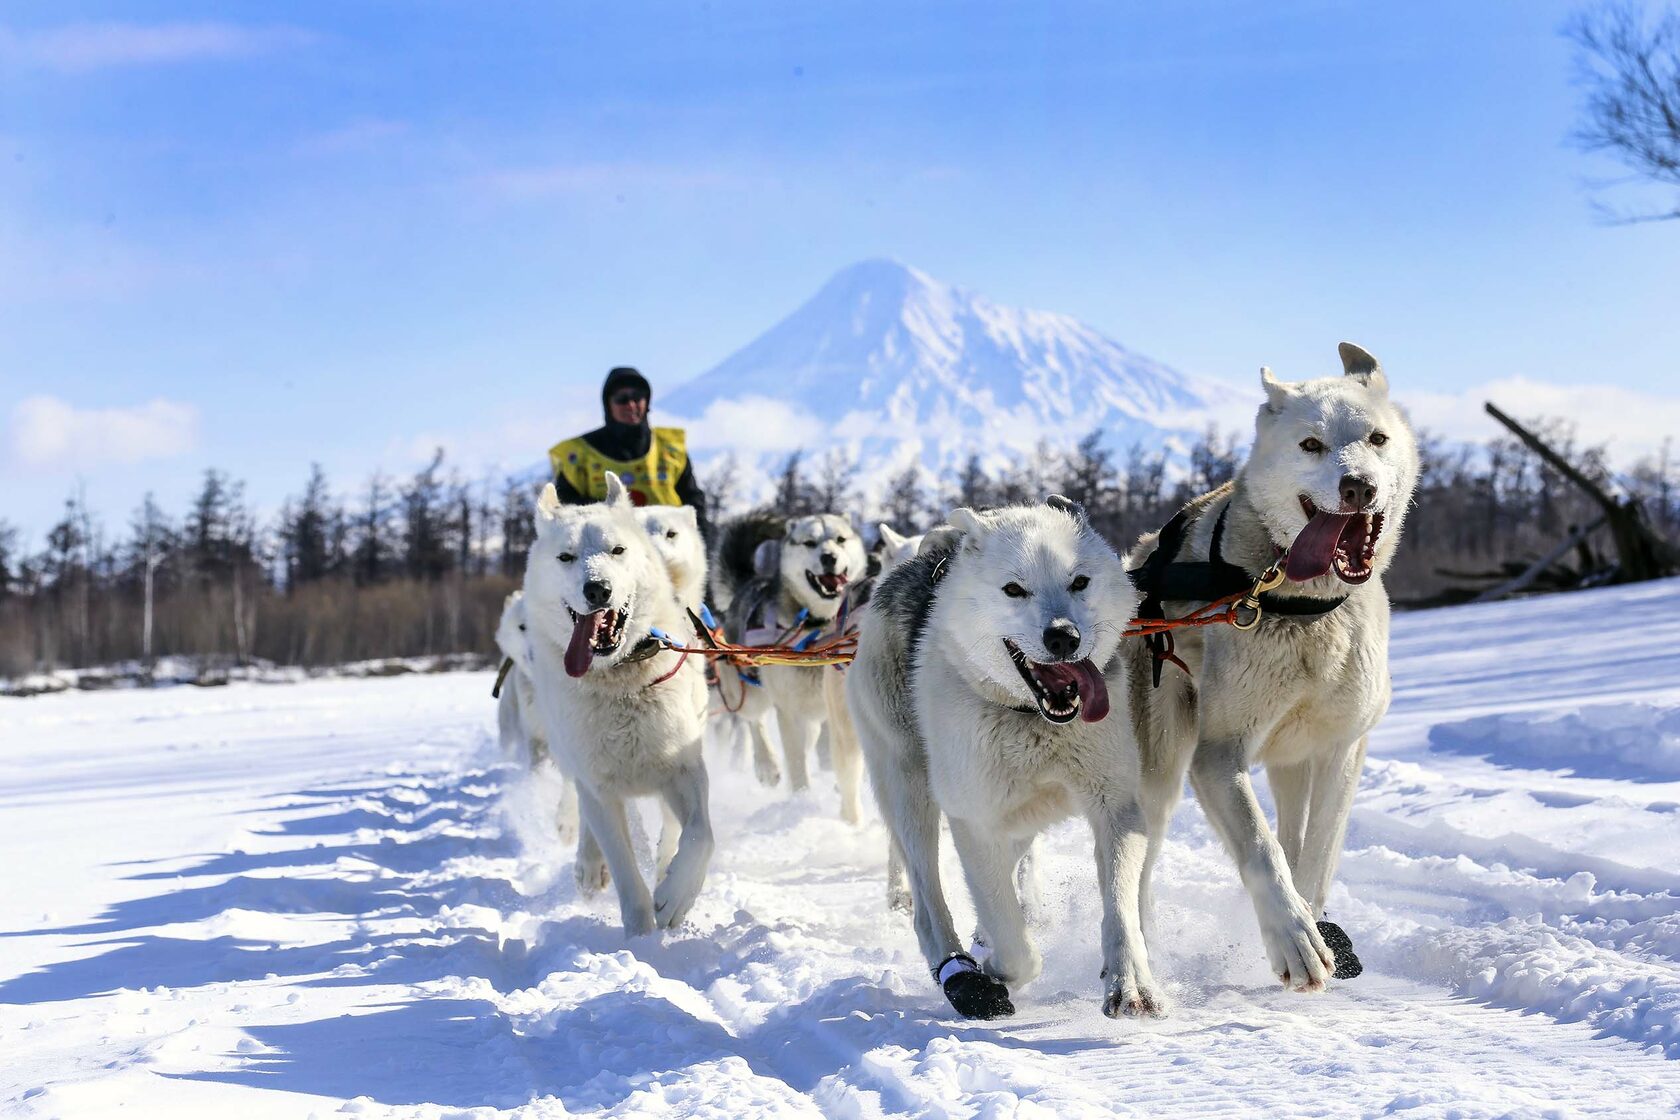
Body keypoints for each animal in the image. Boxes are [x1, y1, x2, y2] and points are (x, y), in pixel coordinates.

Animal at [520, 476, 712, 940]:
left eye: (617, 550)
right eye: (566, 556)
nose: (597, 588)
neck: (619, 679)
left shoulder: (684, 768)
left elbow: (700, 835)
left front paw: (675, 894)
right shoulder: (600, 789)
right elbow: (626, 873)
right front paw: (642, 942)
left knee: (671, 832)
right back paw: (589, 865)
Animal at [712, 517, 866, 822]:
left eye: (840, 539)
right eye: (809, 542)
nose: (828, 557)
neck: (818, 629)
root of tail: (752, 582)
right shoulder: (790, 710)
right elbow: (796, 763)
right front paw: (802, 799)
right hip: (750, 690)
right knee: (753, 721)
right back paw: (767, 765)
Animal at [846, 493, 1162, 1020]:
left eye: (1079, 581)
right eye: (1014, 590)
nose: (1063, 636)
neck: (1033, 718)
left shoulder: (1116, 808)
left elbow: (1120, 907)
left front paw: (1130, 983)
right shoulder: (974, 824)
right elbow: (1016, 944)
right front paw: (996, 966)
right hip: (911, 793)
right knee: (928, 900)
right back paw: (960, 973)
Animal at [1128, 342, 1417, 987]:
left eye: (1377, 438)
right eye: (1310, 444)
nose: (1357, 487)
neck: (1302, 605)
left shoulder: (1341, 749)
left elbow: (1316, 854)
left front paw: (1313, 922)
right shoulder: (1217, 756)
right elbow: (1263, 850)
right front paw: (1292, 938)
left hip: (1290, 760)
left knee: (1293, 828)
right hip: (1161, 773)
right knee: (1141, 865)